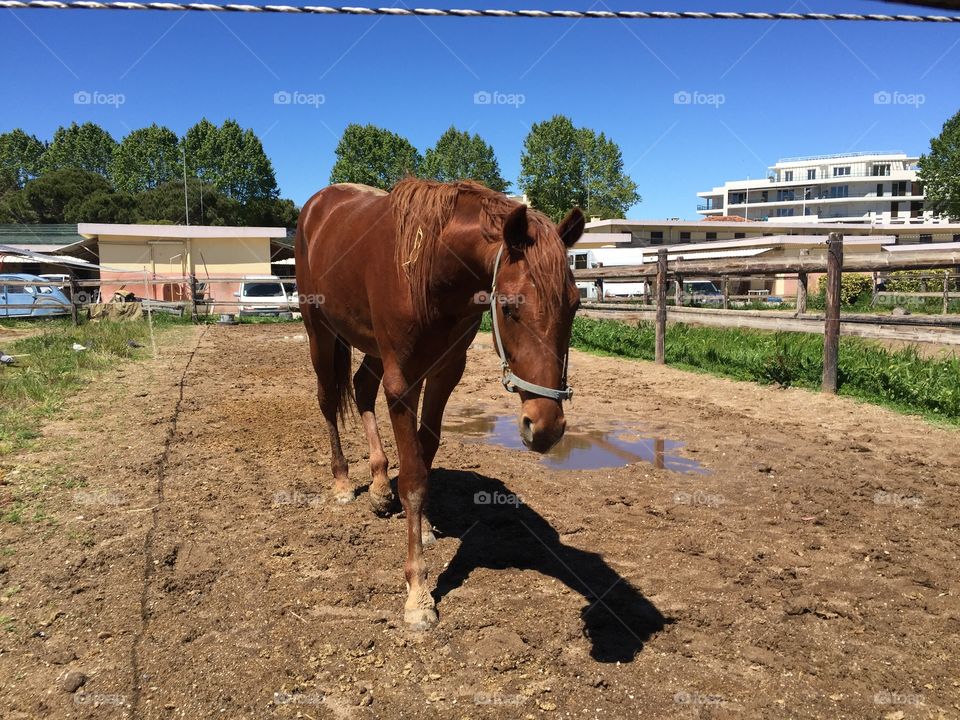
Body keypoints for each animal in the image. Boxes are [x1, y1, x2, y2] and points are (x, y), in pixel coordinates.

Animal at [295, 178, 584, 629]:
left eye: (574, 304)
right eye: (509, 307)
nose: (545, 426)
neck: (430, 266)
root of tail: (316, 206)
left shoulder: (446, 371)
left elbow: (423, 453)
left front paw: (425, 525)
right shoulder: (402, 381)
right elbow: (414, 477)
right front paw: (418, 593)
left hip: (372, 348)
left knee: (361, 389)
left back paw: (380, 486)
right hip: (320, 333)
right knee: (328, 400)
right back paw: (343, 483)